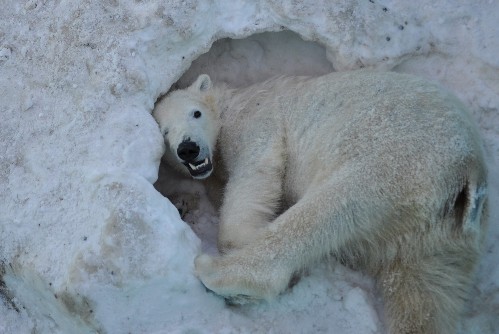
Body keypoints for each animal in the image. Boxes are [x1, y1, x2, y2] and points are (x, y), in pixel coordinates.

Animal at [153, 71, 488, 334]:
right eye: (164, 131)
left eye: (195, 113)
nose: (188, 148)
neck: (228, 104)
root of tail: (468, 171)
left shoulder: (257, 119)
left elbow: (256, 172)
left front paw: (237, 242)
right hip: (440, 234)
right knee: (426, 291)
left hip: (396, 156)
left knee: (332, 206)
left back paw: (220, 273)